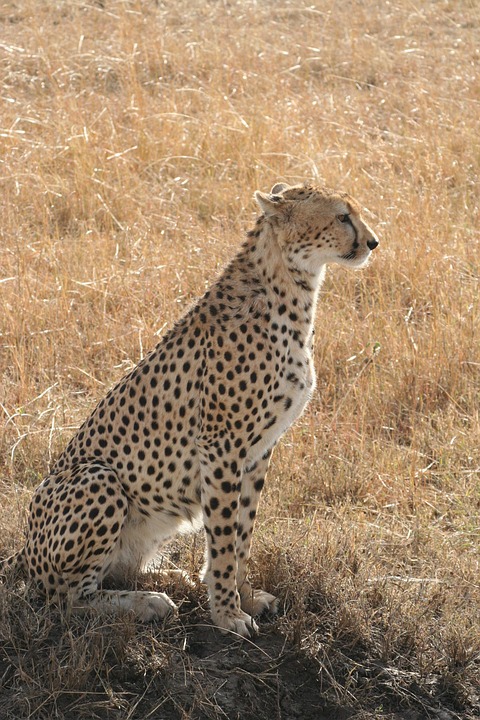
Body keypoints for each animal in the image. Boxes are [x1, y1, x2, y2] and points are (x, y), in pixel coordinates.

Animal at [13, 182, 379, 637]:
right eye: (342, 216)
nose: (373, 242)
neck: (289, 291)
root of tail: (24, 549)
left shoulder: (258, 451)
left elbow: (243, 533)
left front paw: (244, 596)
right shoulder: (221, 447)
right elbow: (222, 538)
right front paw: (226, 615)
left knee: (120, 569)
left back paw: (175, 578)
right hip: (100, 479)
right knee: (64, 598)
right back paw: (147, 603)